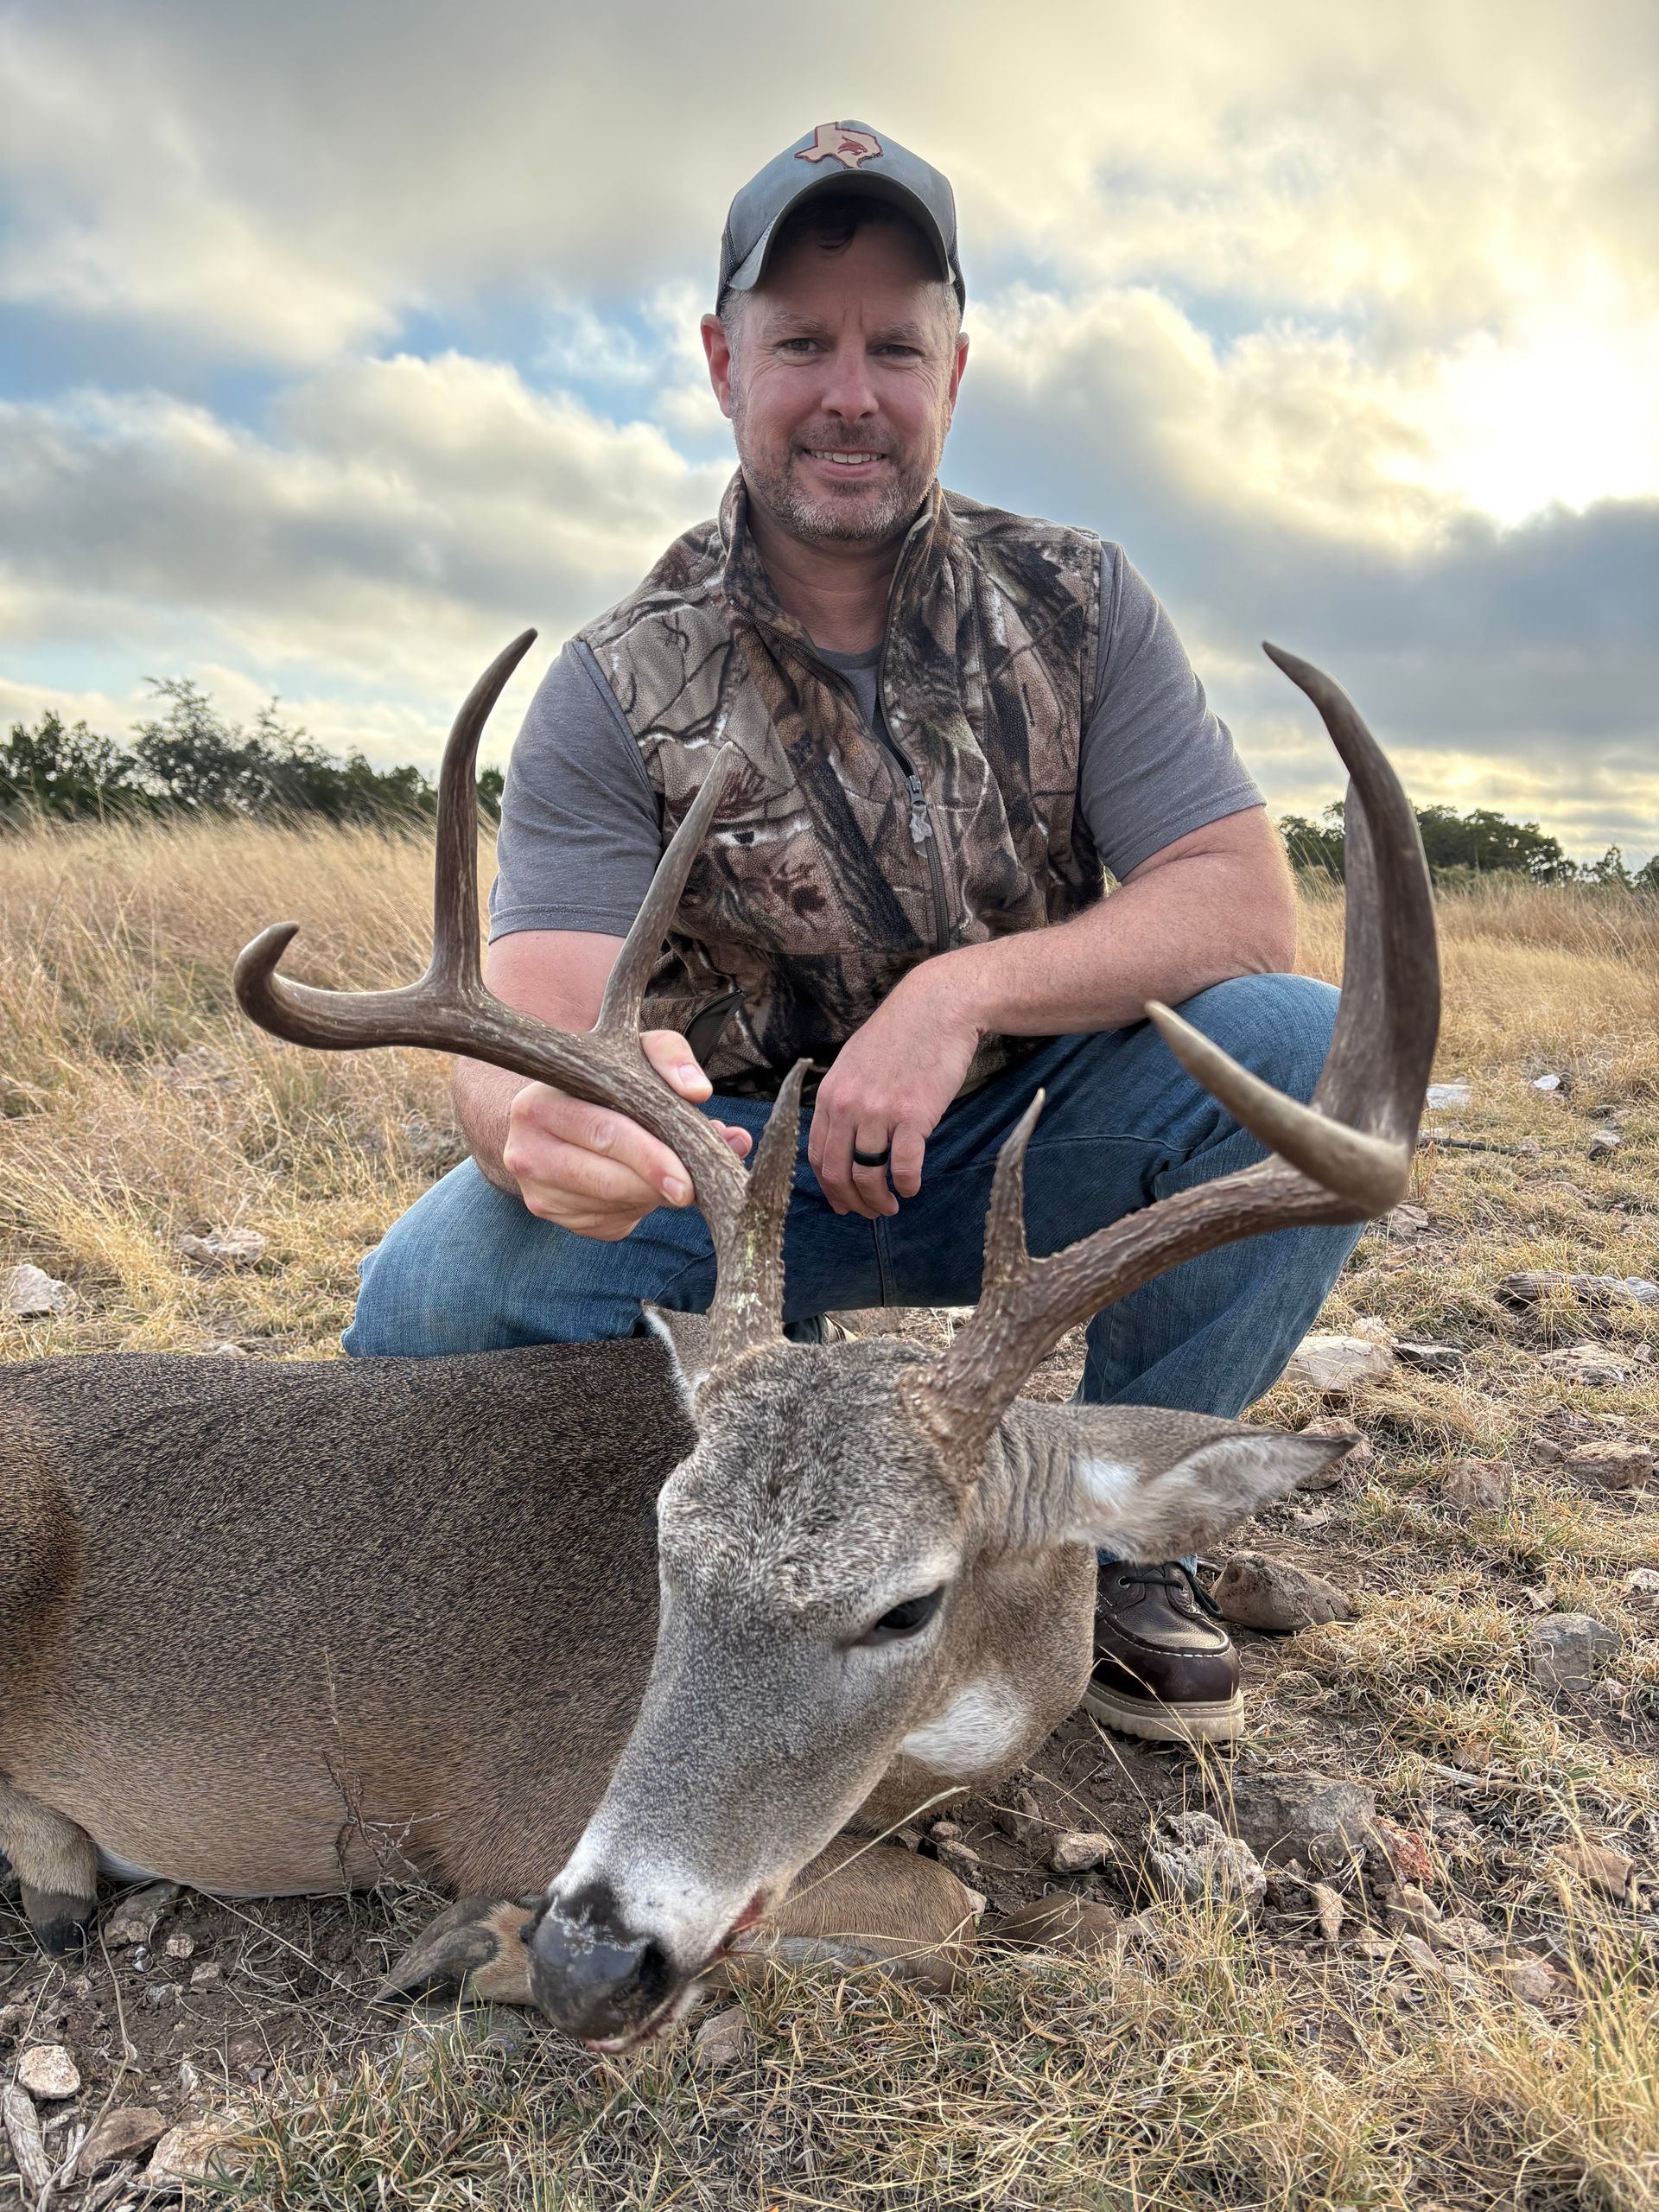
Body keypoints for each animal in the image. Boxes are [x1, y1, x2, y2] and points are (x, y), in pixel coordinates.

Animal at [0, 633, 1438, 2052]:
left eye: (906, 1604)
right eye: (663, 1548)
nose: (590, 1958)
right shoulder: (521, 1805)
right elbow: (950, 1913)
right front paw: (483, 1944)